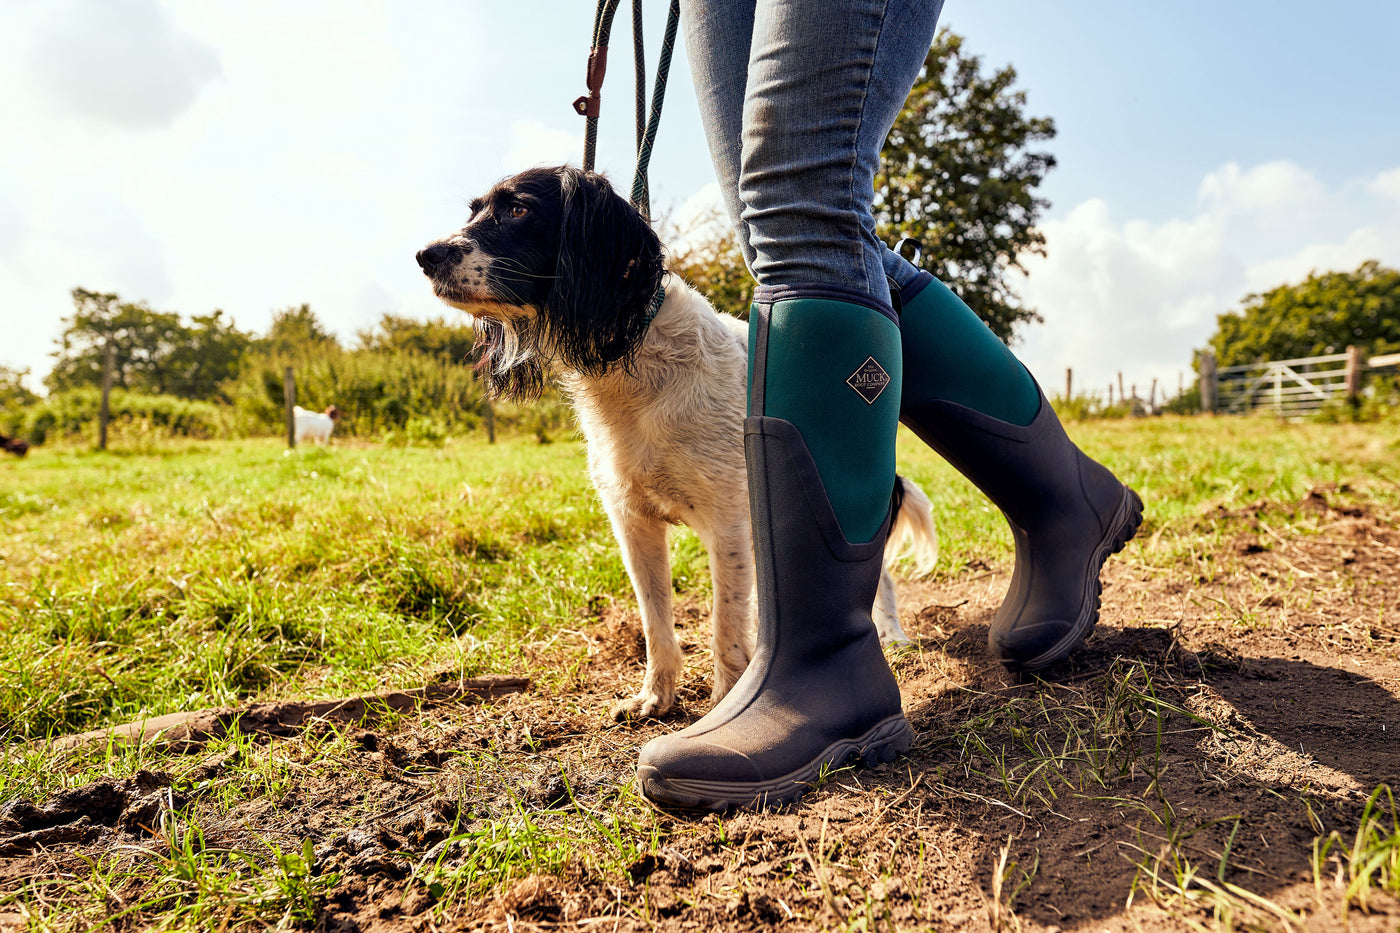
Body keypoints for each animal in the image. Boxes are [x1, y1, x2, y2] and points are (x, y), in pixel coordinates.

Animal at [420, 165, 935, 717]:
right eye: (474, 211)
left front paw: (730, 701)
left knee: (875, 574)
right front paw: (655, 697)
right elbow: (657, 622)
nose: (426, 255)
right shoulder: (633, 523)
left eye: (518, 209)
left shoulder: (729, 523)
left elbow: (725, 625)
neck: (632, 361)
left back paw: (891, 634)